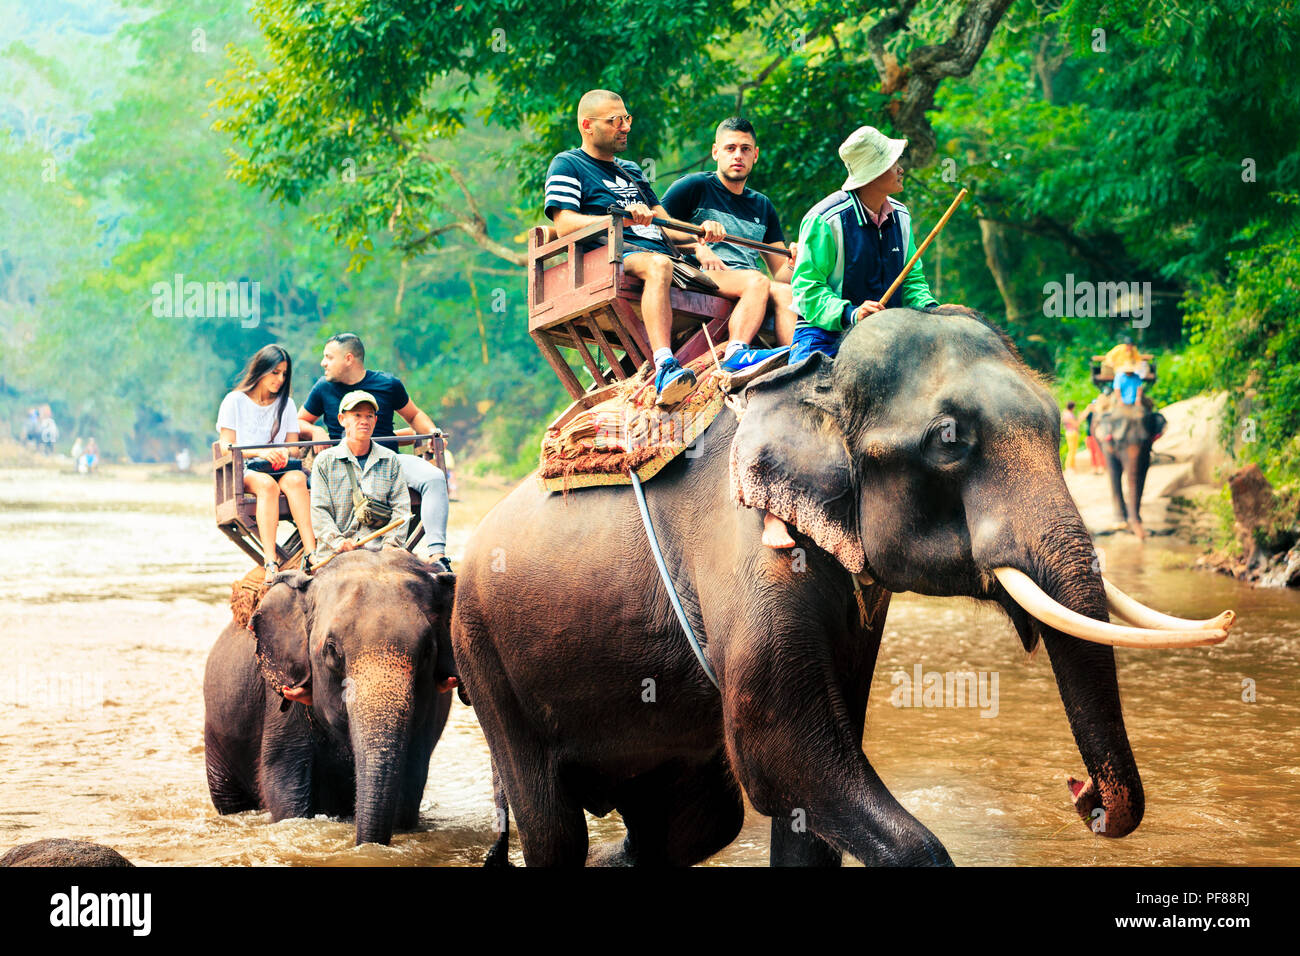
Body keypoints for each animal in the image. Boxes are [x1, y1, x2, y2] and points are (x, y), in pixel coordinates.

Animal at [1093, 392, 1166, 539]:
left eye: (1146, 441)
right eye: (1119, 442)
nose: (1147, 534)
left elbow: (1143, 469)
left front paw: (1137, 519)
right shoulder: (1106, 441)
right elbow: (1114, 470)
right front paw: (1119, 523)